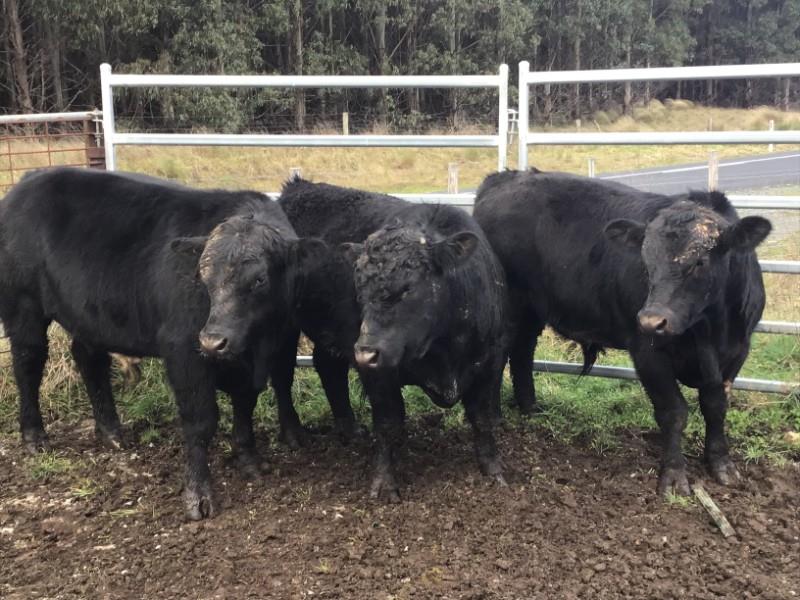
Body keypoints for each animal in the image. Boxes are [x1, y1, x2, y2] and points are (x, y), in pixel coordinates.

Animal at [0, 167, 322, 519]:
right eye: (202, 276)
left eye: (259, 279)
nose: (212, 341)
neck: (257, 343)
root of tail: (32, 178)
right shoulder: (184, 352)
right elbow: (200, 421)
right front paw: (198, 495)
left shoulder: (265, 352)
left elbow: (246, 404)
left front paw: (248, 458)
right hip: (23, 307)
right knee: (28, 363)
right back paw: (34, 436)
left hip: (87, 317)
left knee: (89, 360)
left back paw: (111, 432)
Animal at [277, 179, 509, 501]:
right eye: (358, 286)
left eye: (409, 288)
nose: (365, 352)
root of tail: (298, 187)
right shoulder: (379, 374)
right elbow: (388, 424)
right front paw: (384, 483)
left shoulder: (490, 362)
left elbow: (483, 418)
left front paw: (493, 470)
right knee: (282, 377)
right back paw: (293, 433)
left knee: (328, 367)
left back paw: (350, 429)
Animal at [473, 169, 771, 496]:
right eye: (646, 262)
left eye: (699, 261)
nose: (652, 320)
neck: (709, 330)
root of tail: (507, 177)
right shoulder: (648, 353)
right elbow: (674, 412)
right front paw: (674, 476)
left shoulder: (736, 353)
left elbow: (715, 407)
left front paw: (721, 464)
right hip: (510, 308)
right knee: (501, 355)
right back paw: (495, 414)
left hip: (531, 310)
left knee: (522, 352)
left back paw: (531, 409)